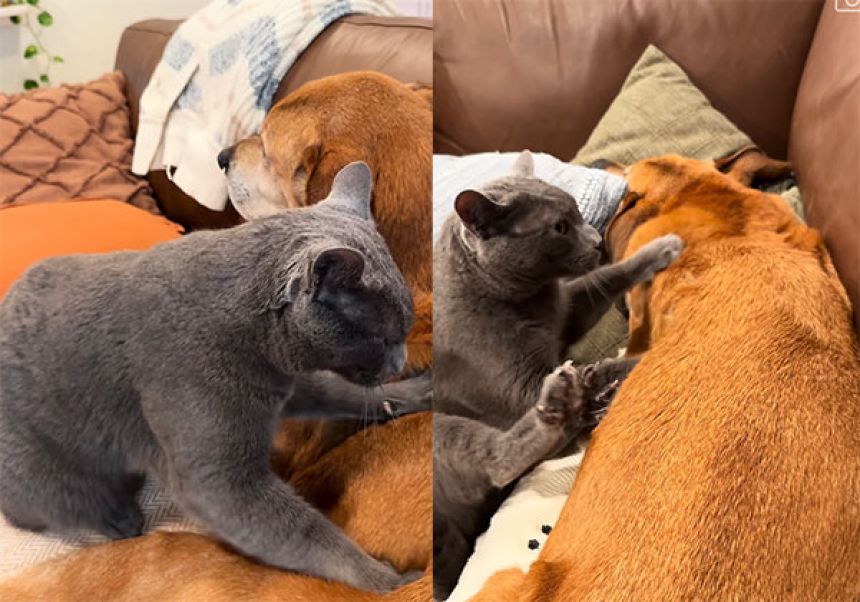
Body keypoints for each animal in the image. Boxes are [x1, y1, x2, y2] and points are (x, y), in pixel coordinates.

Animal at [432, 151, 683, 599]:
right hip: (443, 432)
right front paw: (651, 355)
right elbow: (601, 366)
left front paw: (662, 249)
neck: (528, 302)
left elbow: (605, 277)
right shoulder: (522, 385)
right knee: (497, 462)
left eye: (578, 213)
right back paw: (558, 400)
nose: (597, 241)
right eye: (559, 228)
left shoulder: (568, 308)